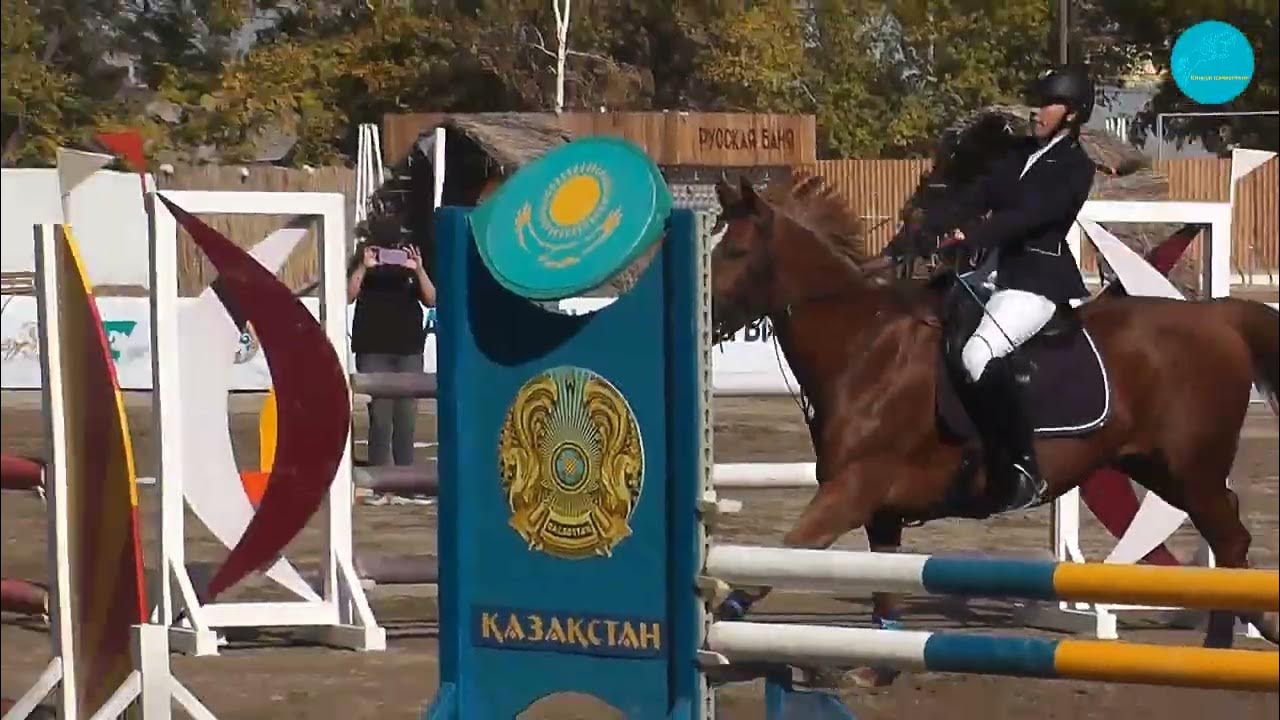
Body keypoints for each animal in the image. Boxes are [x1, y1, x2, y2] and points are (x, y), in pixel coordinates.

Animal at [707, 172, 1280, 687]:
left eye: (734, 251)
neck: (865, 347)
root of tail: (1217, 317)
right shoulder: (878, 508)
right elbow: (883, 583)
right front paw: (879, 668)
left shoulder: (850, 491)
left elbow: (774, 563)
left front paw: (713, 631)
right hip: (1157, 467)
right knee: (1230, 536)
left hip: (1190, 469)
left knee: (1230, 537)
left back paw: (1221, 649)